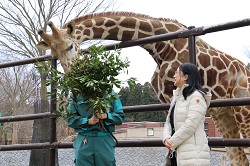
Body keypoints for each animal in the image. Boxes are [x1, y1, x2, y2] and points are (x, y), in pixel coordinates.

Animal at [36, 12, 250, 166]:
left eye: (71, 46)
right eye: (53, 54)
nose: (73, 78)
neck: (162, 46)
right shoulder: (166, 101)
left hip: (243, 110)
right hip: (225, 116)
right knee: (239, 159)